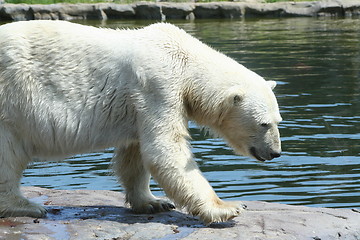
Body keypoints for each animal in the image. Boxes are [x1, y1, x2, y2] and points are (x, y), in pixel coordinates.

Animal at [0, 20, 282, 223]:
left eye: (278, 120)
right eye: (264, 124)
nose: (276, 152)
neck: (185, 59)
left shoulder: (138, 106)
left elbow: (135, 155)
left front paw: (153, 201)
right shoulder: (159, 87)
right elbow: (165, 149)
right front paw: (228, 207)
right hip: (11, 100)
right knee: (8, 155)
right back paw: (26, 206)